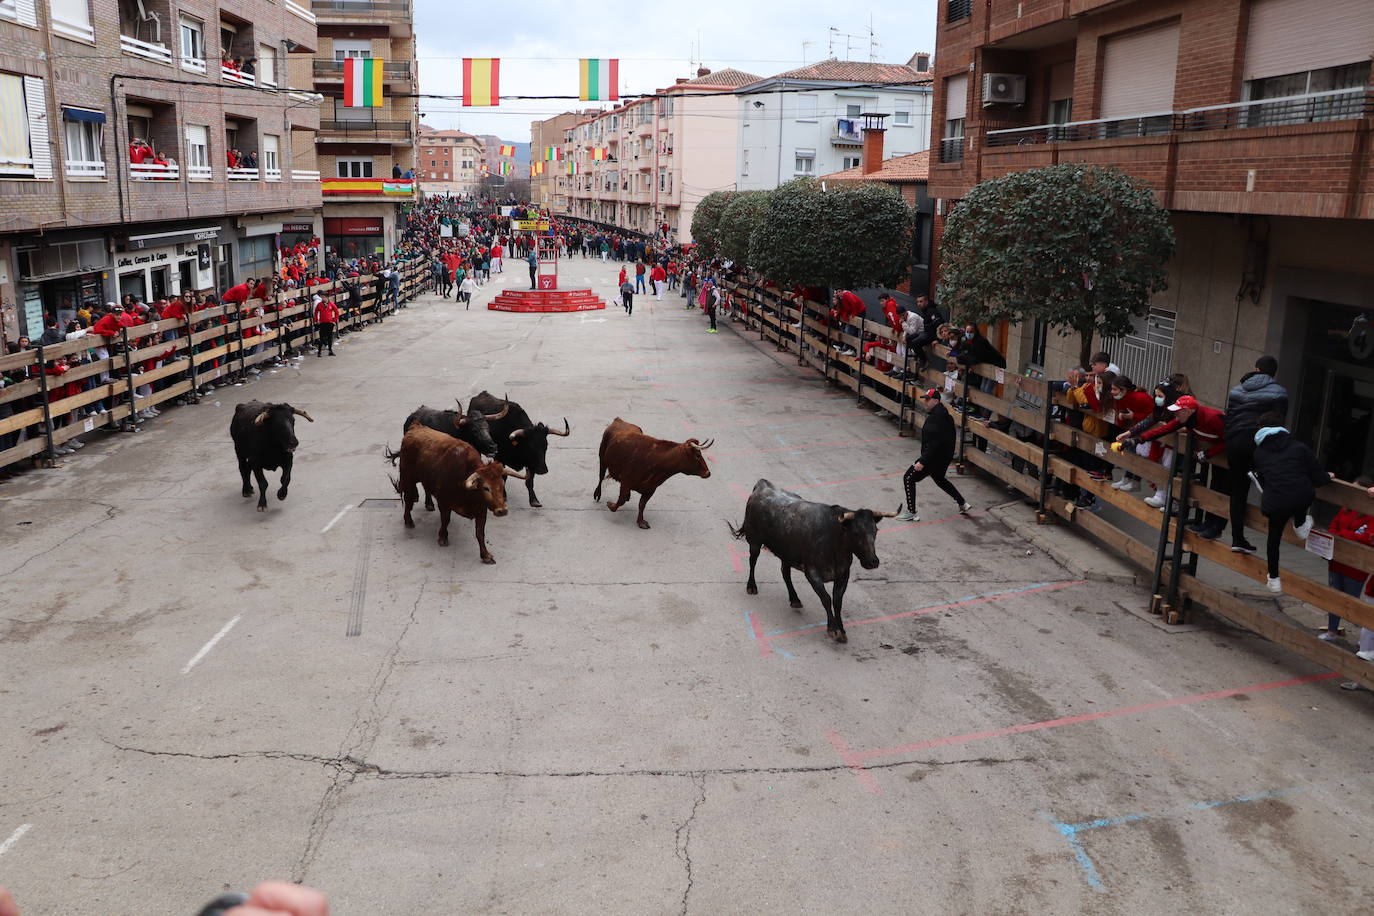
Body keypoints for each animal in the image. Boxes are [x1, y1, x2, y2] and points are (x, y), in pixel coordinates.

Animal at [401, 425, 527, 565]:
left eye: (502, 485)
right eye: (486, 488)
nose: (502, 510)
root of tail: (415, 427)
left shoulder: (481, 509)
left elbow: (480, 533)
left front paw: (485, 555)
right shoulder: (444, 502)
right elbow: (445, 520)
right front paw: (443, 537)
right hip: (407, 477)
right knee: (408, 499)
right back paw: (408, 521)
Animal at [725, 480, 895, 645]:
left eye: (875, 531)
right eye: (856, 533)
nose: (872, 562)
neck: (834, 541)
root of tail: (762, 485)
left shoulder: (843, 575)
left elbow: (837, 601)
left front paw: (841, 630)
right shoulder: (812, 573)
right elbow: (826, 599)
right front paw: (833, 630)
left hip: (786, 553)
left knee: (785, 572)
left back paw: (794, 599)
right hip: (754, 542)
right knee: (753, 561)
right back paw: (751, 587)